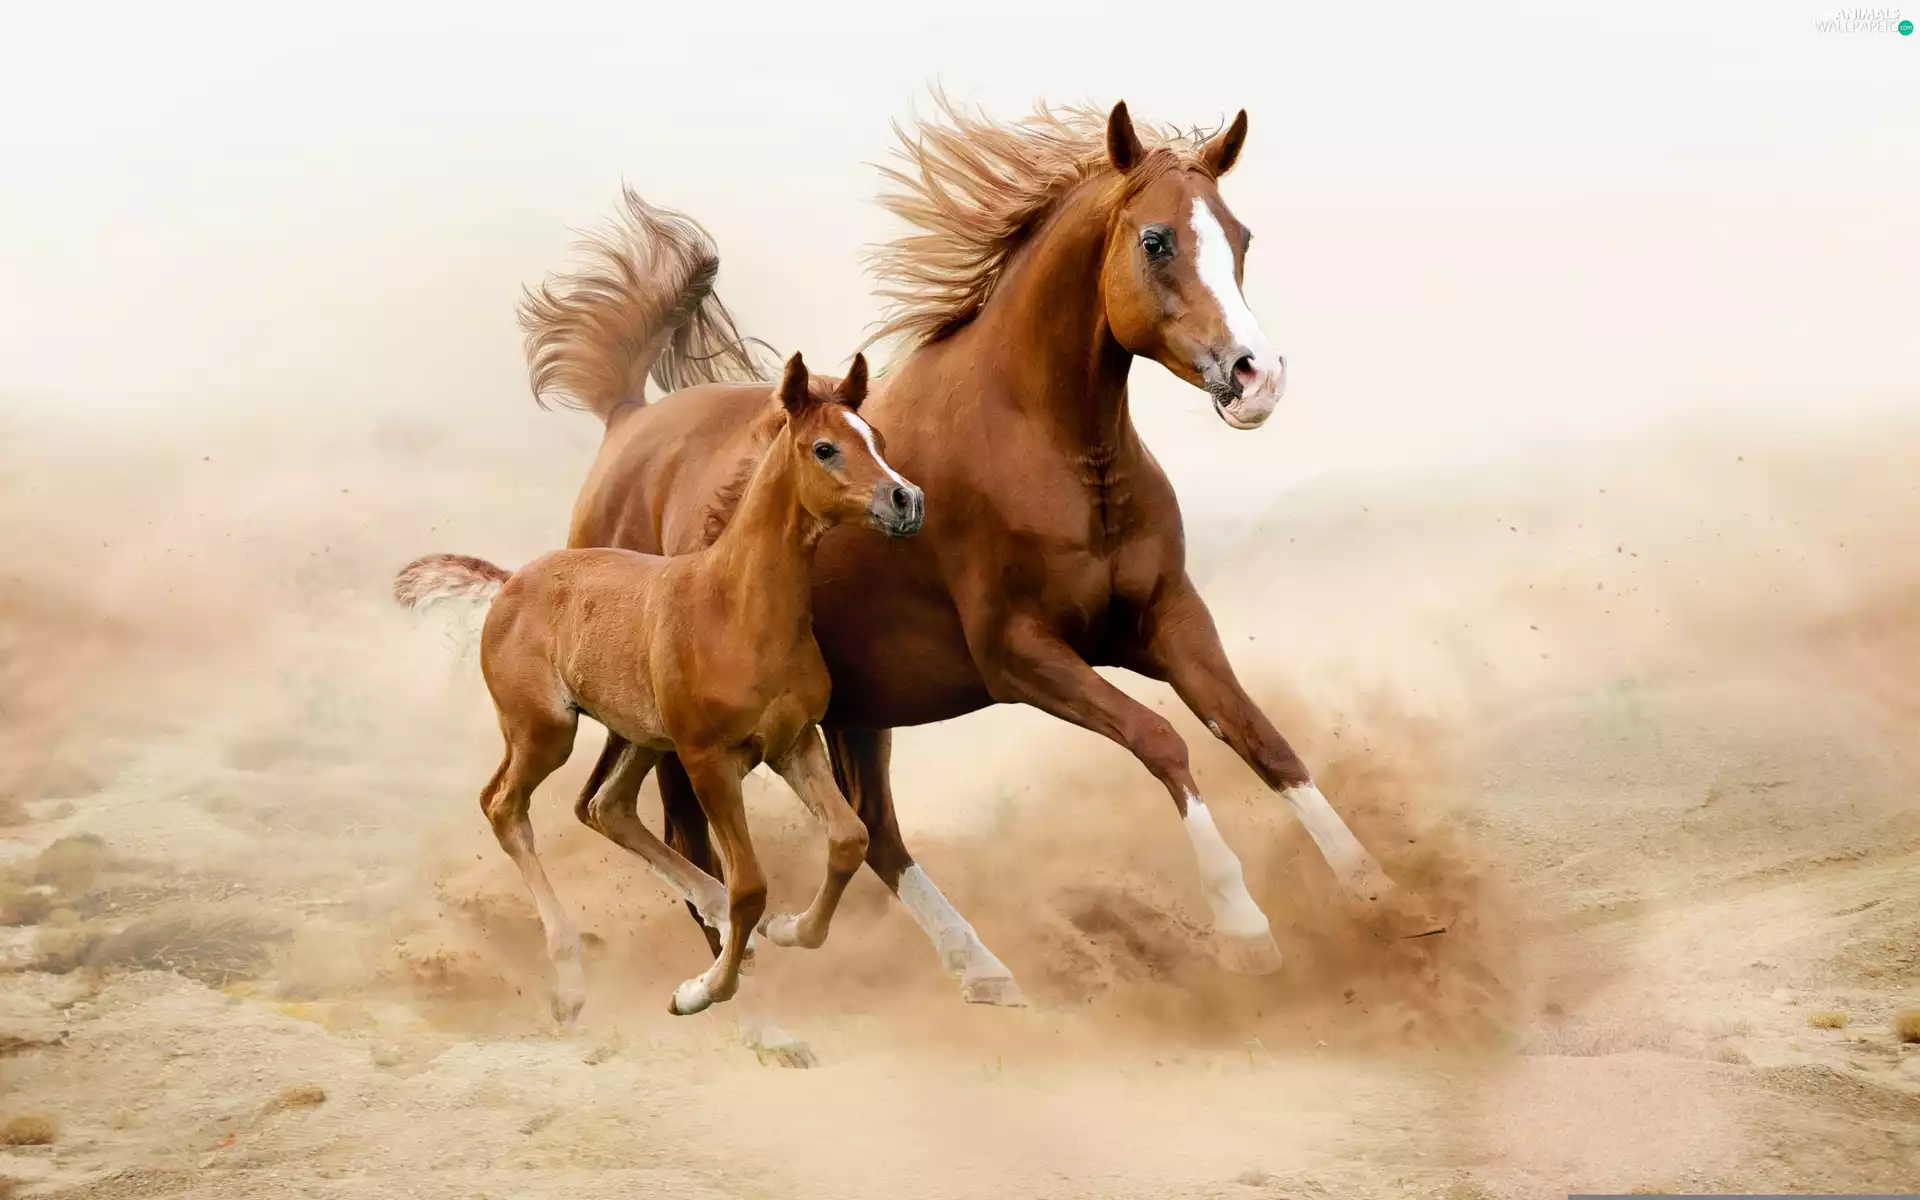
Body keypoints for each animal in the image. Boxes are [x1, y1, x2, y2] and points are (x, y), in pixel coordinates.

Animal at [393, 352, 922, 1022]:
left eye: (876, 438)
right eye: (824, 448)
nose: (907, 499)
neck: (735, 611)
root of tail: (510, 581)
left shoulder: (793, 744)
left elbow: (850, 839)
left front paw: (787, 930)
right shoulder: (708, 761)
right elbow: (751, 885)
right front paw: (699, 991)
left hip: (640, 736)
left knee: (606, 806)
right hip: (546, 731)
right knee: (504, 806)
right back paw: (571, 978)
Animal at [518, 97, 1444, 1016]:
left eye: (1241, 235)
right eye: (1156, 240)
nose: (1258, 377)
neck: (1051, 450)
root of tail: (628, 420)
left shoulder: (1169, 620)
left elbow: (1262, 739)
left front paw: (1388, 900)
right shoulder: (1020, 655)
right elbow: (1162, 741)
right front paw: (1246, 930)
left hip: (856, 708)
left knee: (872, 832)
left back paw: (977, 968)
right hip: (680, 717)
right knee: (662, 820)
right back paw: (733, 973)